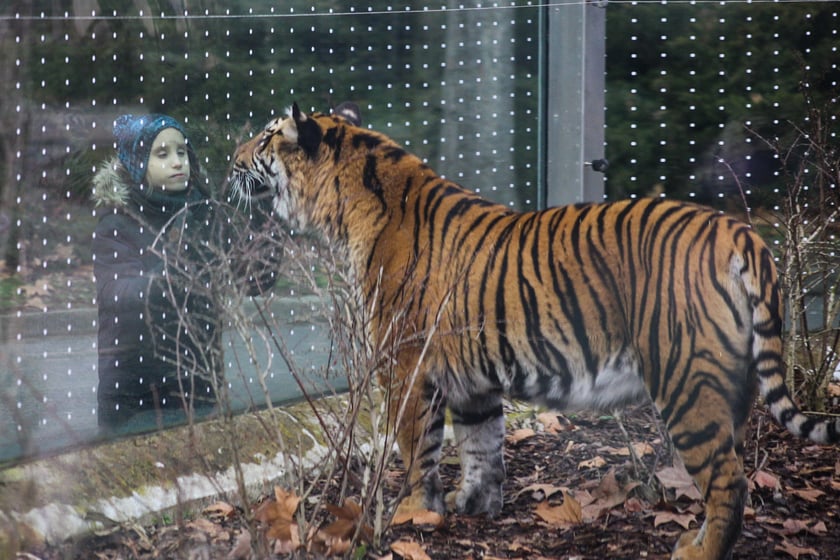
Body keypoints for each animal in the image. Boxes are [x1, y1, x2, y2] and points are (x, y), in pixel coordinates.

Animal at [226, 103, 836, 560]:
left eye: (265, 135)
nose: (230, 161)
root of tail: (741, 232)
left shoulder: (405, 364)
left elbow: (417, 446)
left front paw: (413, 513)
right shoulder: (471, 377)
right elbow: (480, 445)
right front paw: (474, 506)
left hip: (686, 379)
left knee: (728, 480)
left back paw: (699, 551)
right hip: (731, 388)